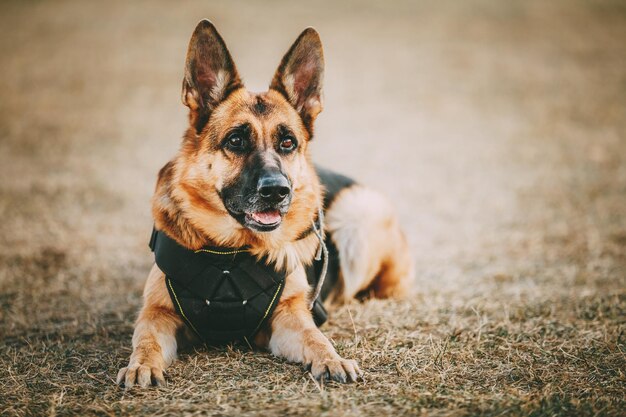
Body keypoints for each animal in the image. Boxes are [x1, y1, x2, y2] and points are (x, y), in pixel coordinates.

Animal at [116, 20, 414, 386]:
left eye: (287, 142)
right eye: (236, 140)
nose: (276, 191)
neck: (229, 254)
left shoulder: (290, 316)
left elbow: (316, 336)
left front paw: (332, 359)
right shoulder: (156, 313)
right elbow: (146, 340)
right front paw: (141, 365)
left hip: (358, 213)